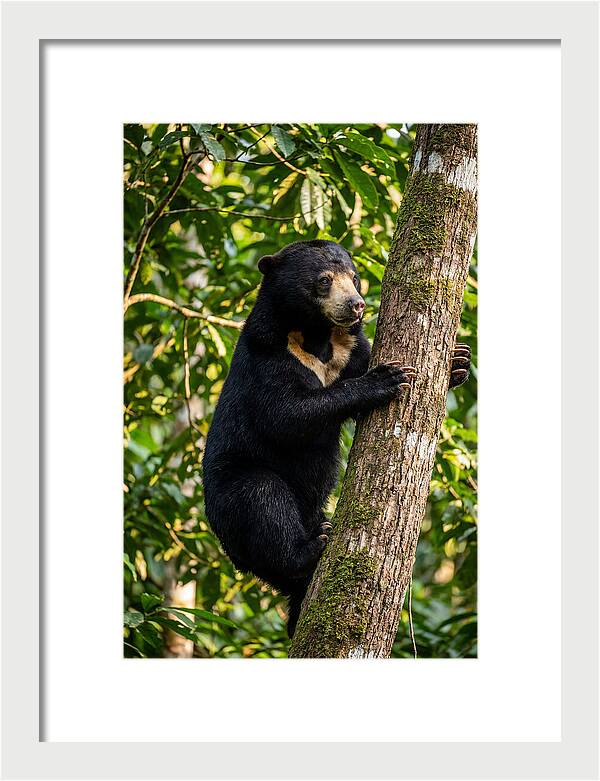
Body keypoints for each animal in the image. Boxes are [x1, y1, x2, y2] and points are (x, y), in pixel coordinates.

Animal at [202, 239, 470, 638]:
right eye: (324, 280)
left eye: (355, 278)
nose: (357, 304)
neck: (317, 336)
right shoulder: (267, 356)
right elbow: (285, 416)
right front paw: (386, 379)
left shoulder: (350, 348)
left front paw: (458, 361)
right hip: (231, 493)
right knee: (262, 499)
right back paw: (313, 546)